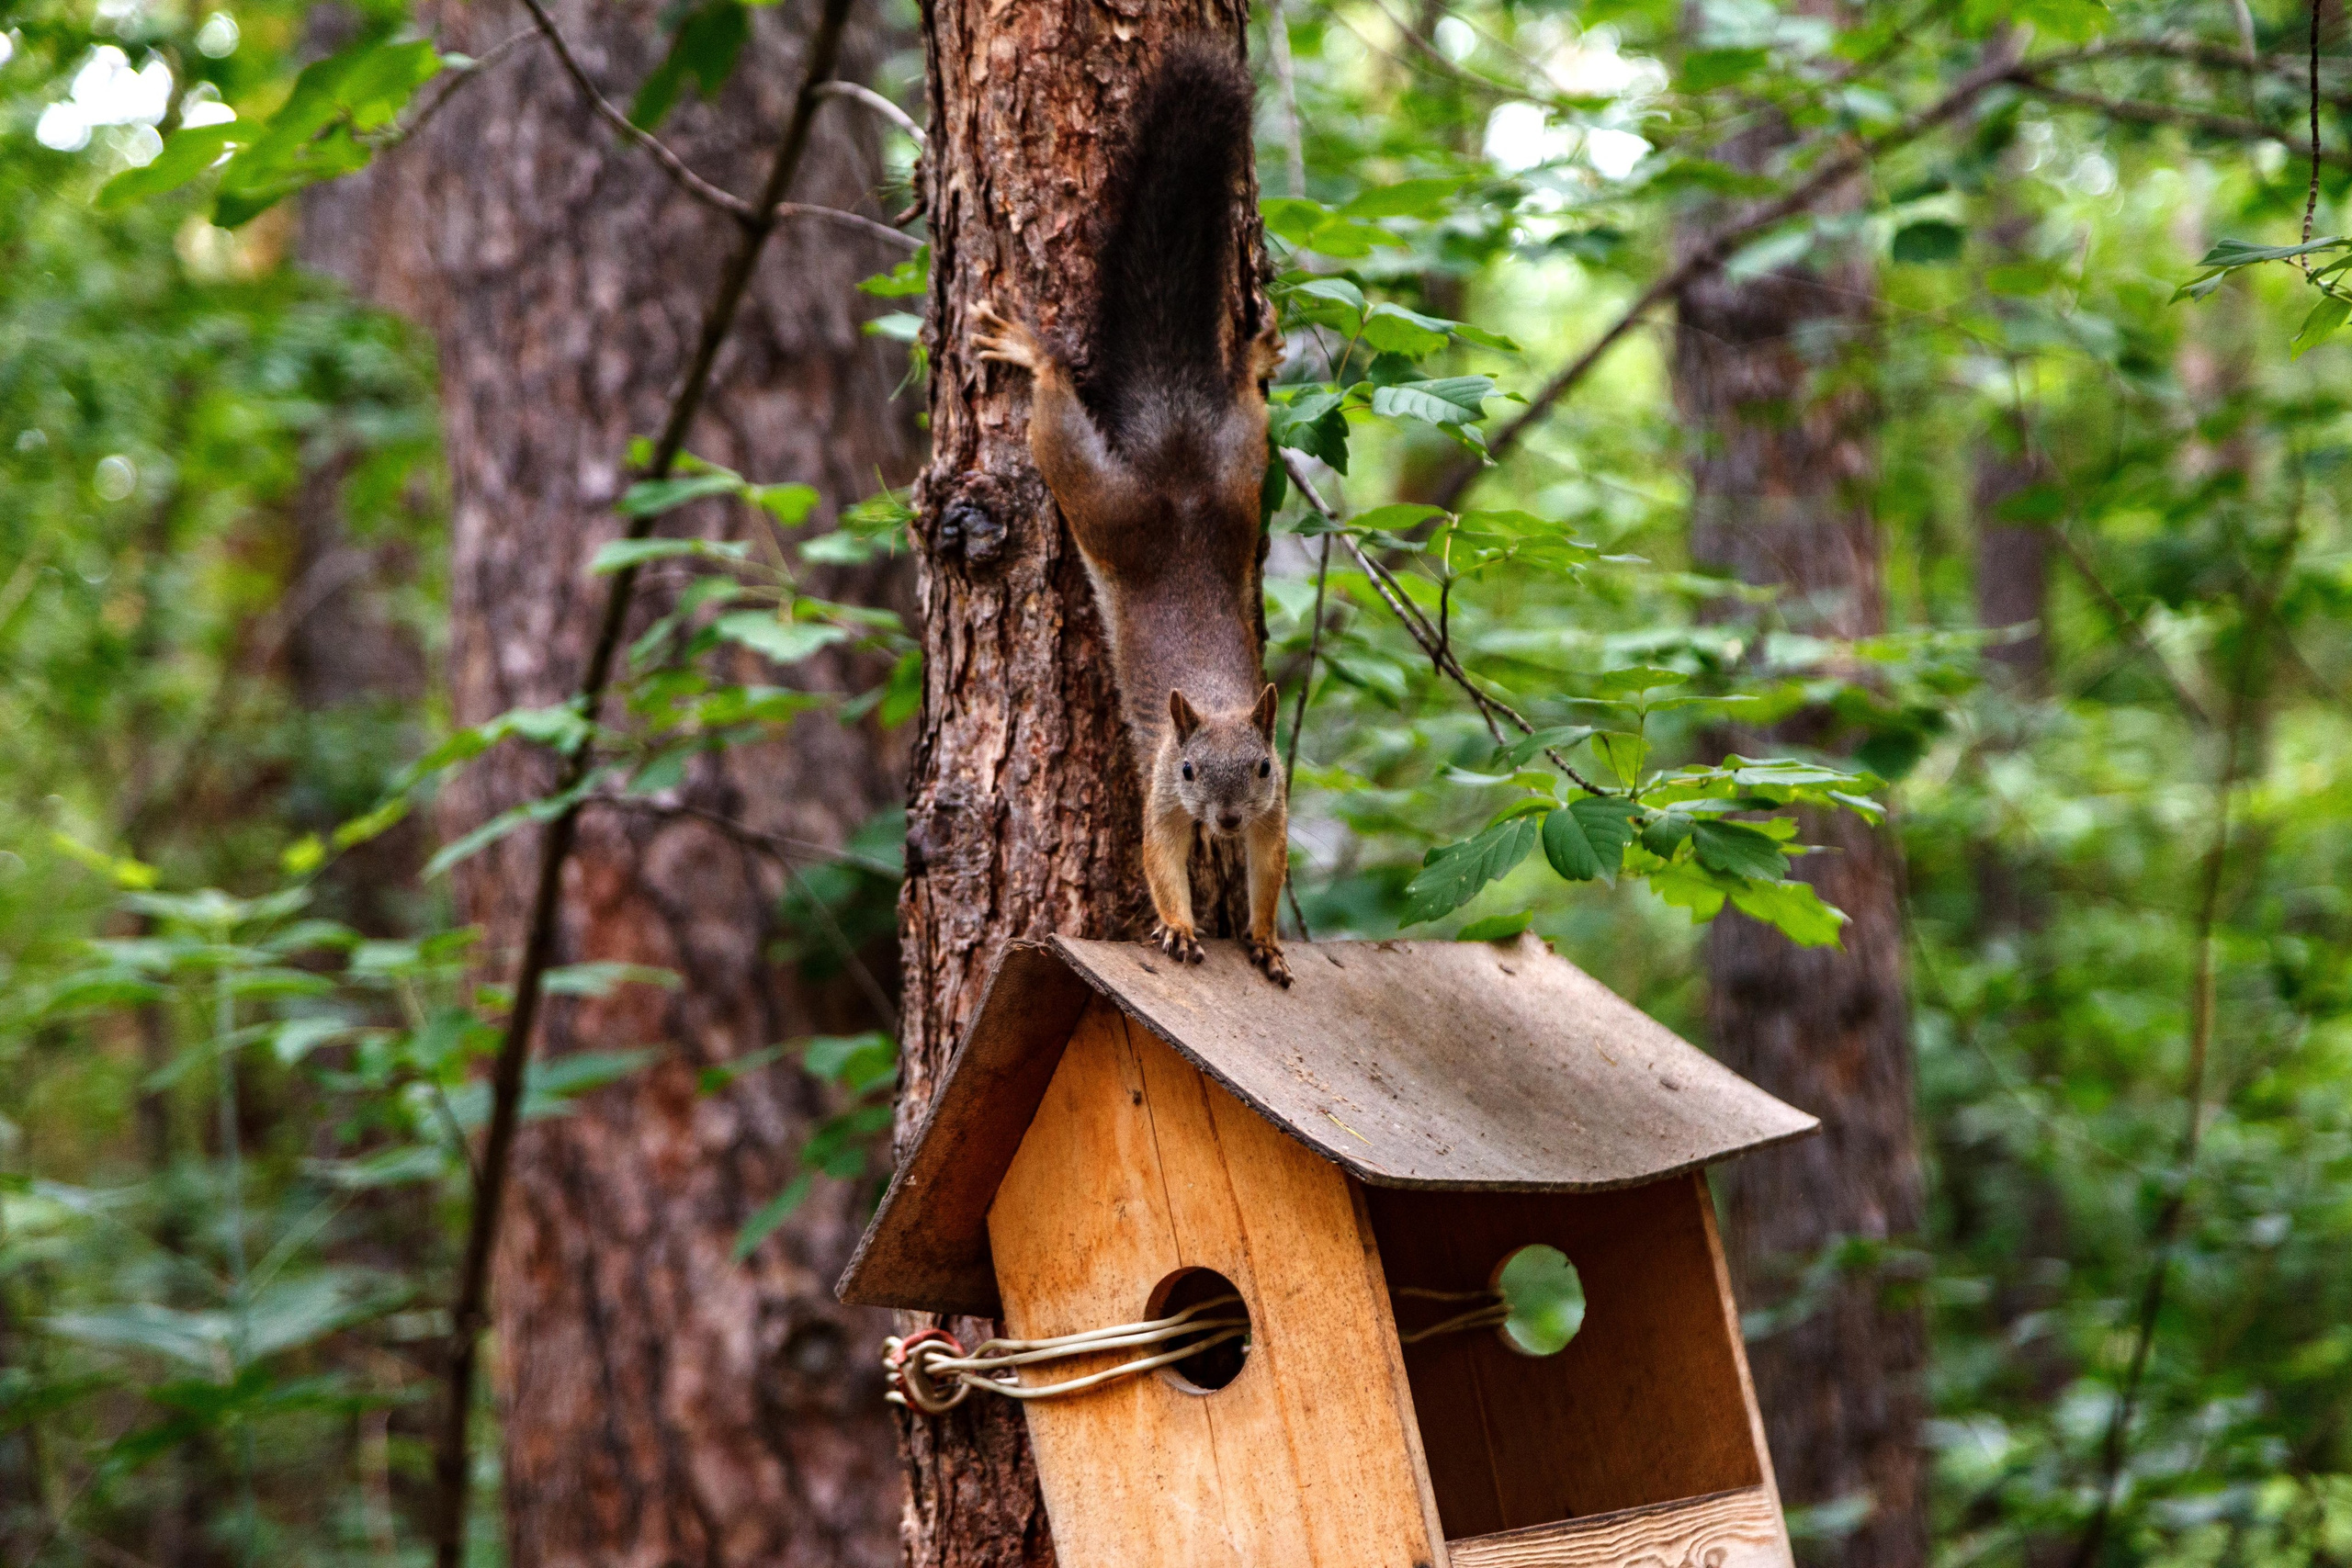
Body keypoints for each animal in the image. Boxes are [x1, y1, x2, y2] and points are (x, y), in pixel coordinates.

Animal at [973, 39, 1293, 987]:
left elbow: (1269, 864)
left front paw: (1264, 937)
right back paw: (1030, 350)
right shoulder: (1157, 789)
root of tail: (1176, 475)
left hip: (1239, 477)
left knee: (1245, 410)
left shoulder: (1276, 804)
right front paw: (1183, 927)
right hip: (1099, 499)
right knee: (1055, 412)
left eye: (1259, 765)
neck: (1218, 699)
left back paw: (1254, 356)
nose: (1222, 822)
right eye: (1188, 767)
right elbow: (1160, 857)